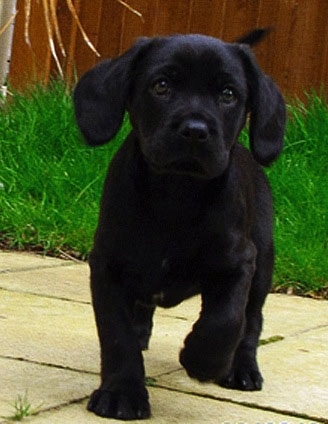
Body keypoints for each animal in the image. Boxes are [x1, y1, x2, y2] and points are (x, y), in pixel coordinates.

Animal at [73, 28, 284, 420]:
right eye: (162, 85)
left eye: (228, 94)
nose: (195, 130)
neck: (177, 194)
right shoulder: (107, 265)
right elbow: (117, 335)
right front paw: (121, 393)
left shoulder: (239, 262)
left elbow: (225, 320)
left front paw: (202, 359)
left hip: (263, 263)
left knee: (252, 321)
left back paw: (242, 369)